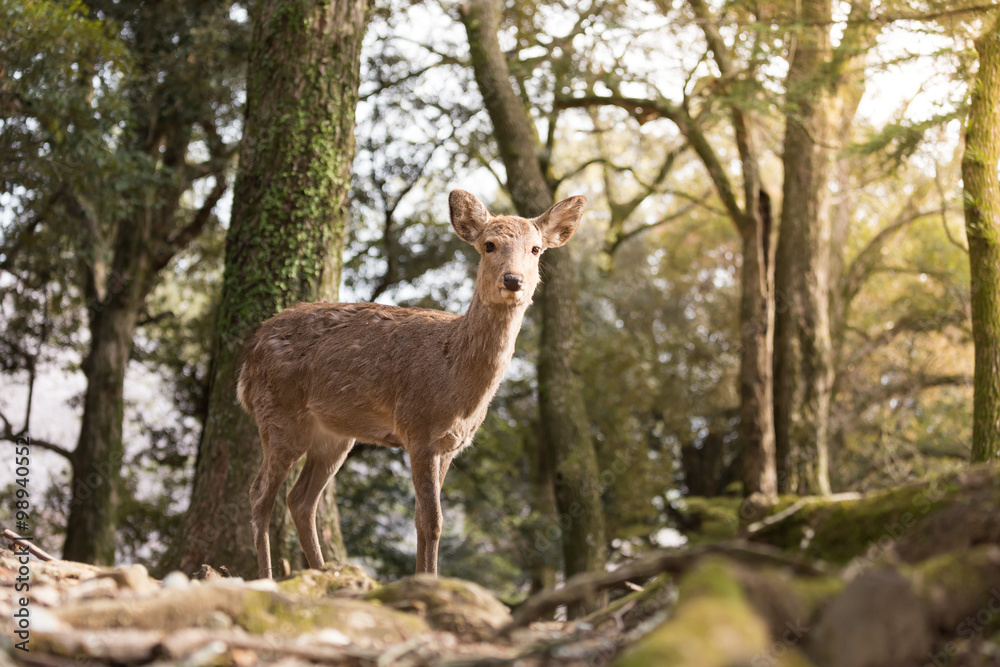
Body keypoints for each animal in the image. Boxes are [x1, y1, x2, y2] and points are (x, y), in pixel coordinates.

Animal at [237, 189, 584, 580]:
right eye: (489, 245)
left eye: (536, 249)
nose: (513, 280)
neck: (455, 380)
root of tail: (247, 360)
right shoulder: (418, 429)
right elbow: (432, 521)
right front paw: (429, 580)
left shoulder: (449, 445)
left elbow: (422, 519)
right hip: (279, 416)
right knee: (259, 495)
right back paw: (267, 578)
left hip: (334, 435)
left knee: (300, 500)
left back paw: (326, 573)